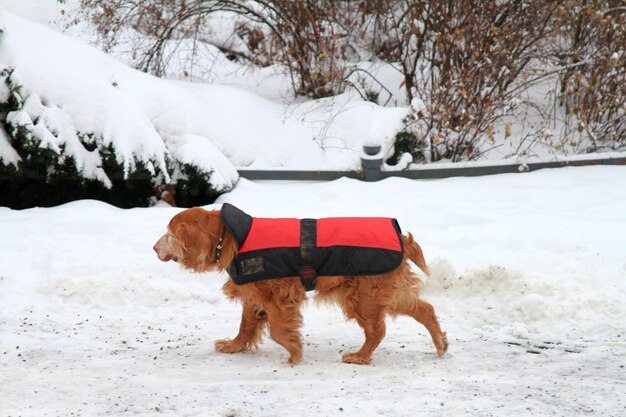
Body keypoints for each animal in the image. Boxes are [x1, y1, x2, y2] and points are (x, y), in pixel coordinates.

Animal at [154, 206, 446, 364]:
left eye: (168, 235)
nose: (154, 248)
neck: (232, 237)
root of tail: (402, 237)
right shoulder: (255, 295)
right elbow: (246, 325)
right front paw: (234, 346)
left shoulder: (278, 295)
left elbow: (278, 329)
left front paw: (293, 351)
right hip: (387, 293)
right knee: (425, 310)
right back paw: (441, 344)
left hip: (364, 296)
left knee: (377, 330)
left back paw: (360, 356)